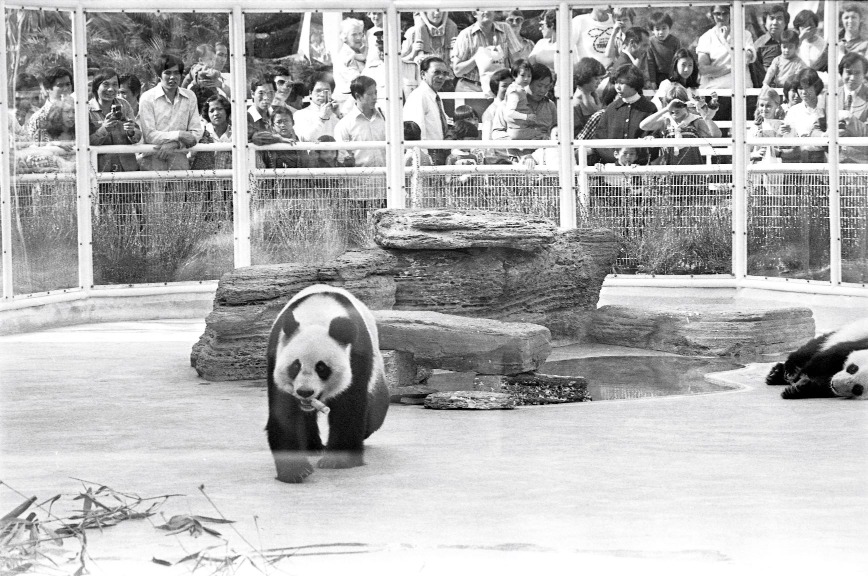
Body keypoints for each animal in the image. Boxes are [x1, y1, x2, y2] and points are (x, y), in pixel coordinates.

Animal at [264, 284, 386, 482]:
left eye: (321, 368)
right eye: (295, 366)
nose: (305, 392)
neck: (318, 314)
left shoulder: (357, 354)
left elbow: (348, 405)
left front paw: (338, 460)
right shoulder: (276, 352)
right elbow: (284, 411)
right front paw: (295, 470)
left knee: (375, 410)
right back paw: (312, 446)